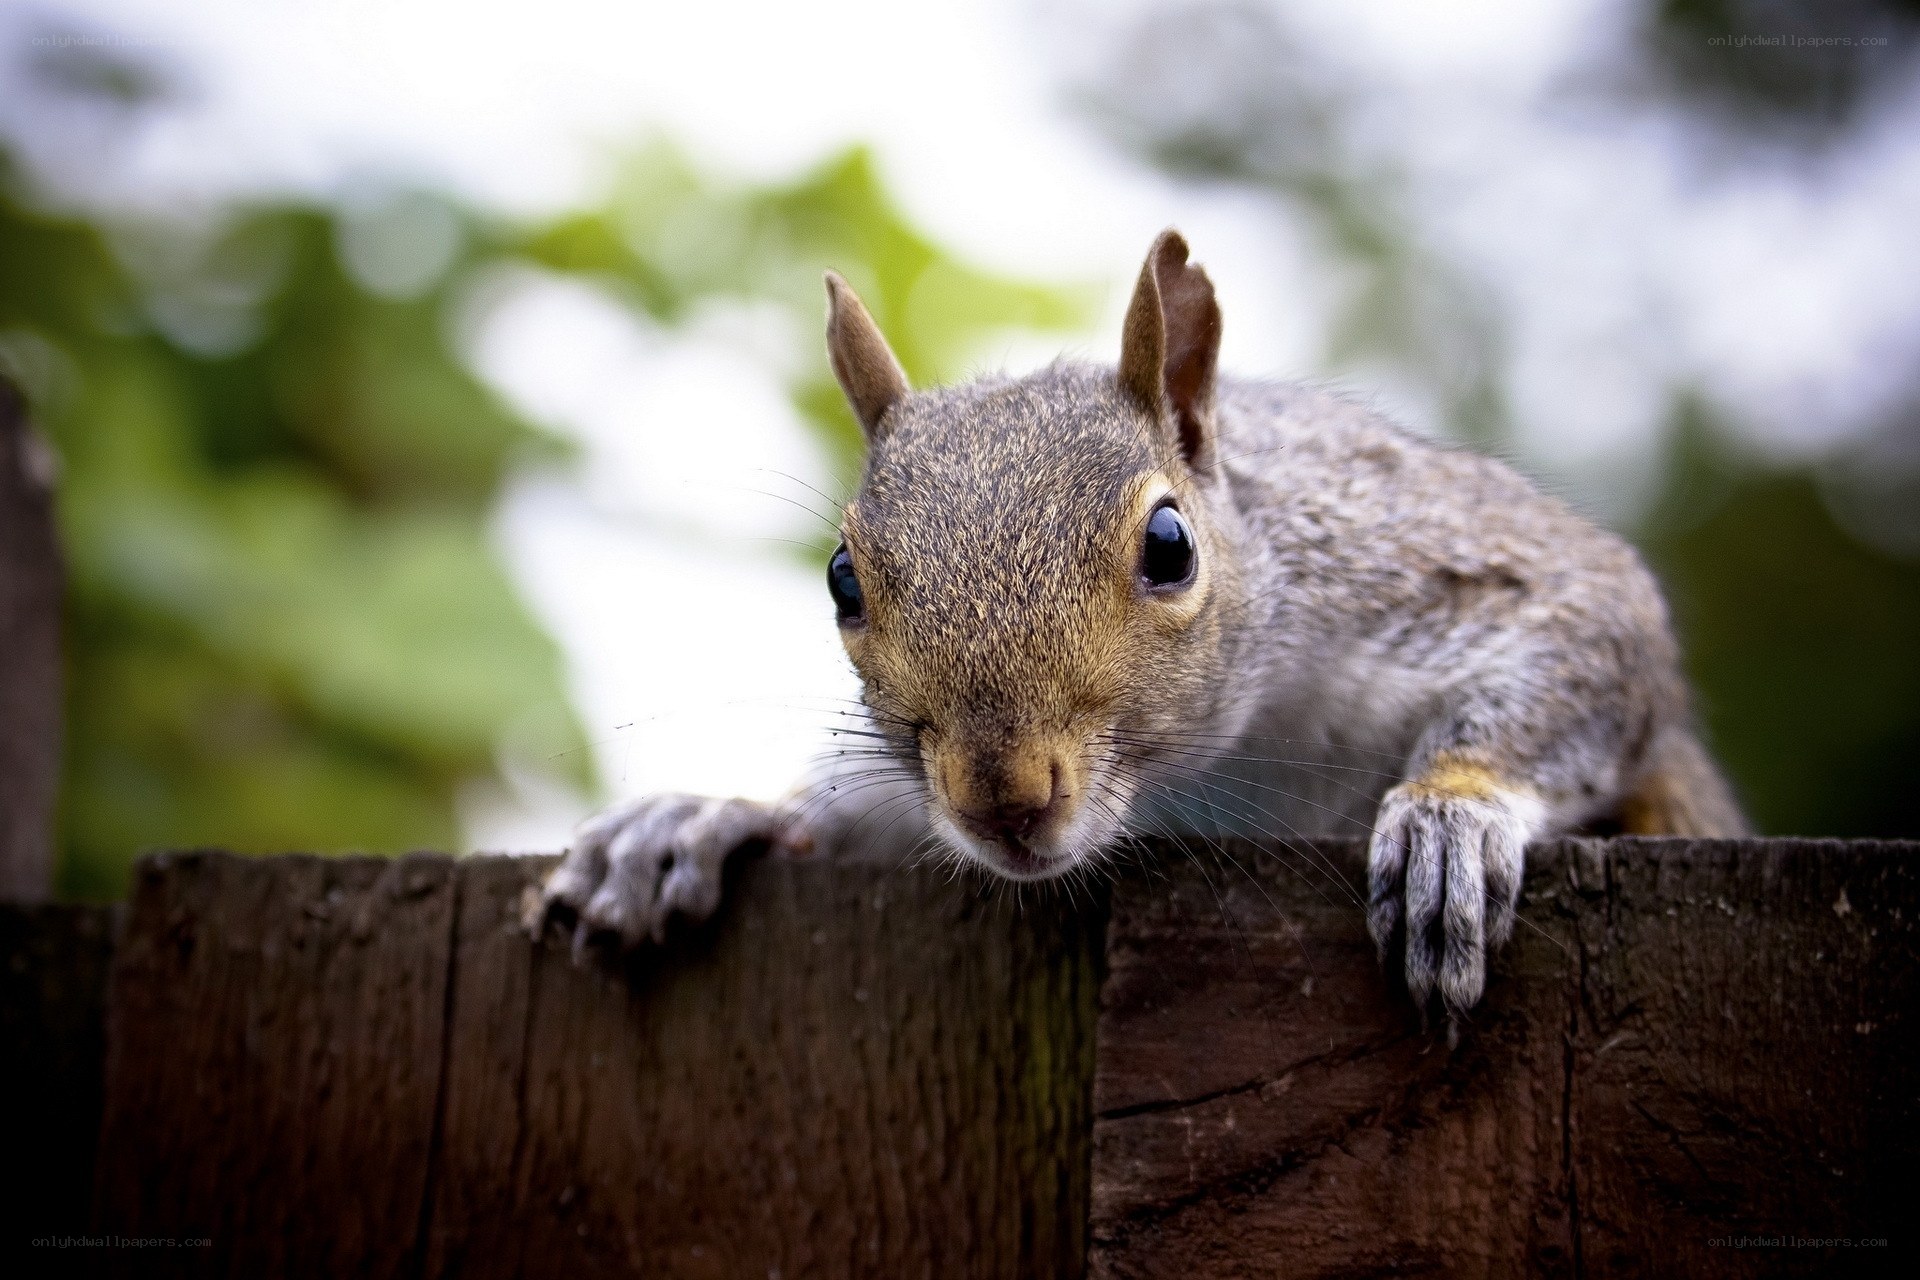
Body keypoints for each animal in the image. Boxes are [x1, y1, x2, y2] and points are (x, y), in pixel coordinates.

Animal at [533, 230, 1746, 1027]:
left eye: (1171, 546)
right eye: (842, 581)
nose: (1003, 799)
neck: (1217, 765)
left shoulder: (1436, 565)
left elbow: (1589, 634)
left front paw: (1452, 816)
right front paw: (709, 816)